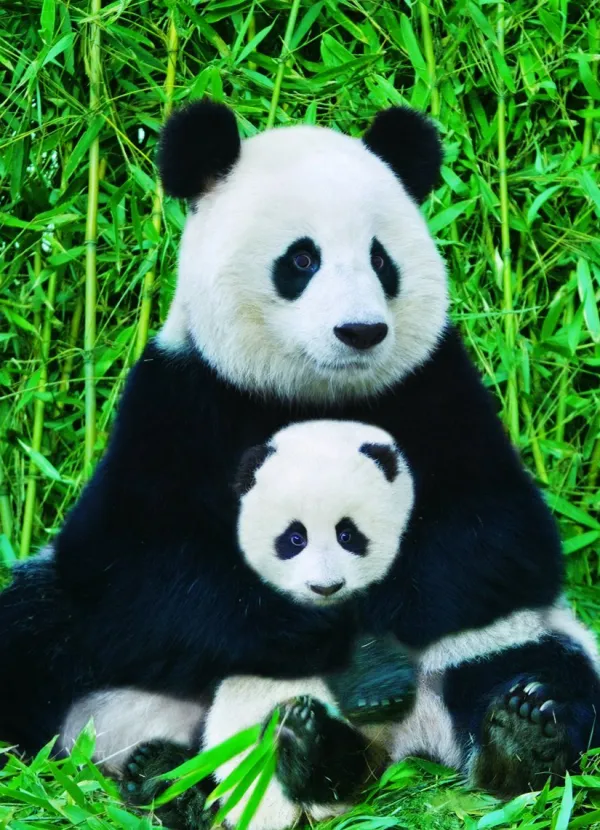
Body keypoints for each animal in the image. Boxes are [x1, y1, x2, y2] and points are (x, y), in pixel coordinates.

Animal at [1, 99, 599, 807]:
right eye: (302, 260)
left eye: (381, 260)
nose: (361, 331)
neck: (312, 392)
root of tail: (398, 745)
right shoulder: (178, 398)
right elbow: (128, 562)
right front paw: (315, 624)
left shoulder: (436, 388)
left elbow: (500, 535)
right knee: (36, 629)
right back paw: (184, 772)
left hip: (509, 635)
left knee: (542, 664)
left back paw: (517, 734)